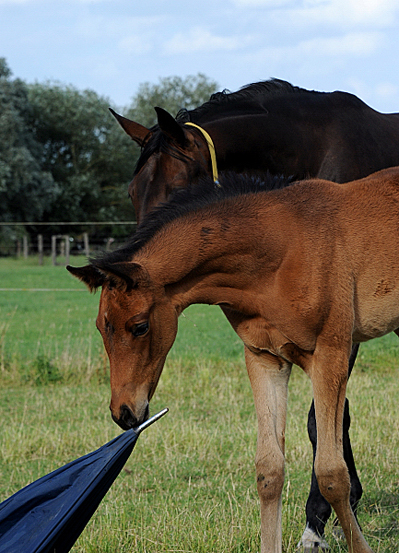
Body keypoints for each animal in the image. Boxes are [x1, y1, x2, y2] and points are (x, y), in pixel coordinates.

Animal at [110, 76, 399, 548]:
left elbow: (322, 421)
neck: (314, 144)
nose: (135, 265)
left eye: (178, 186)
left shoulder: (341, 335)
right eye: (133, 192)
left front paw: (316, 522)